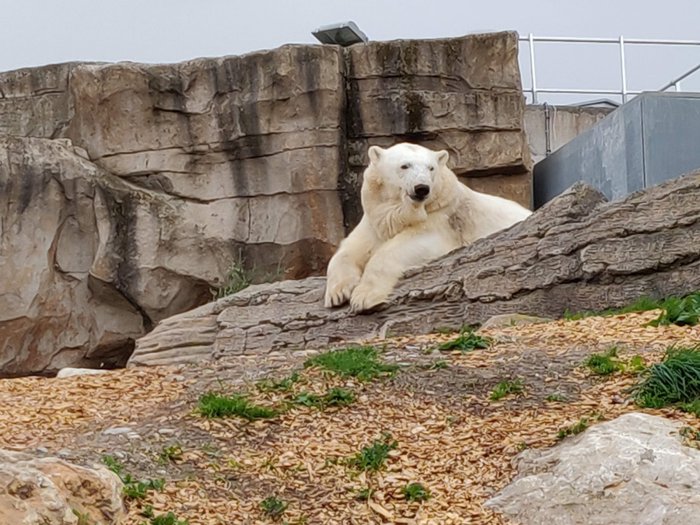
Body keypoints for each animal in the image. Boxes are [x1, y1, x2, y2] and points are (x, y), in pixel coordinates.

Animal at [324, 142, 532, 312]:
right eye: (405, 165)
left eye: (431, 168)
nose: (422, 188)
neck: (401, 212)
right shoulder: (375, 219)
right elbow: (350, 249)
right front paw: (337, 293)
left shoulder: (442, 216)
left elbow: (410, 244)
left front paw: (363, 298)